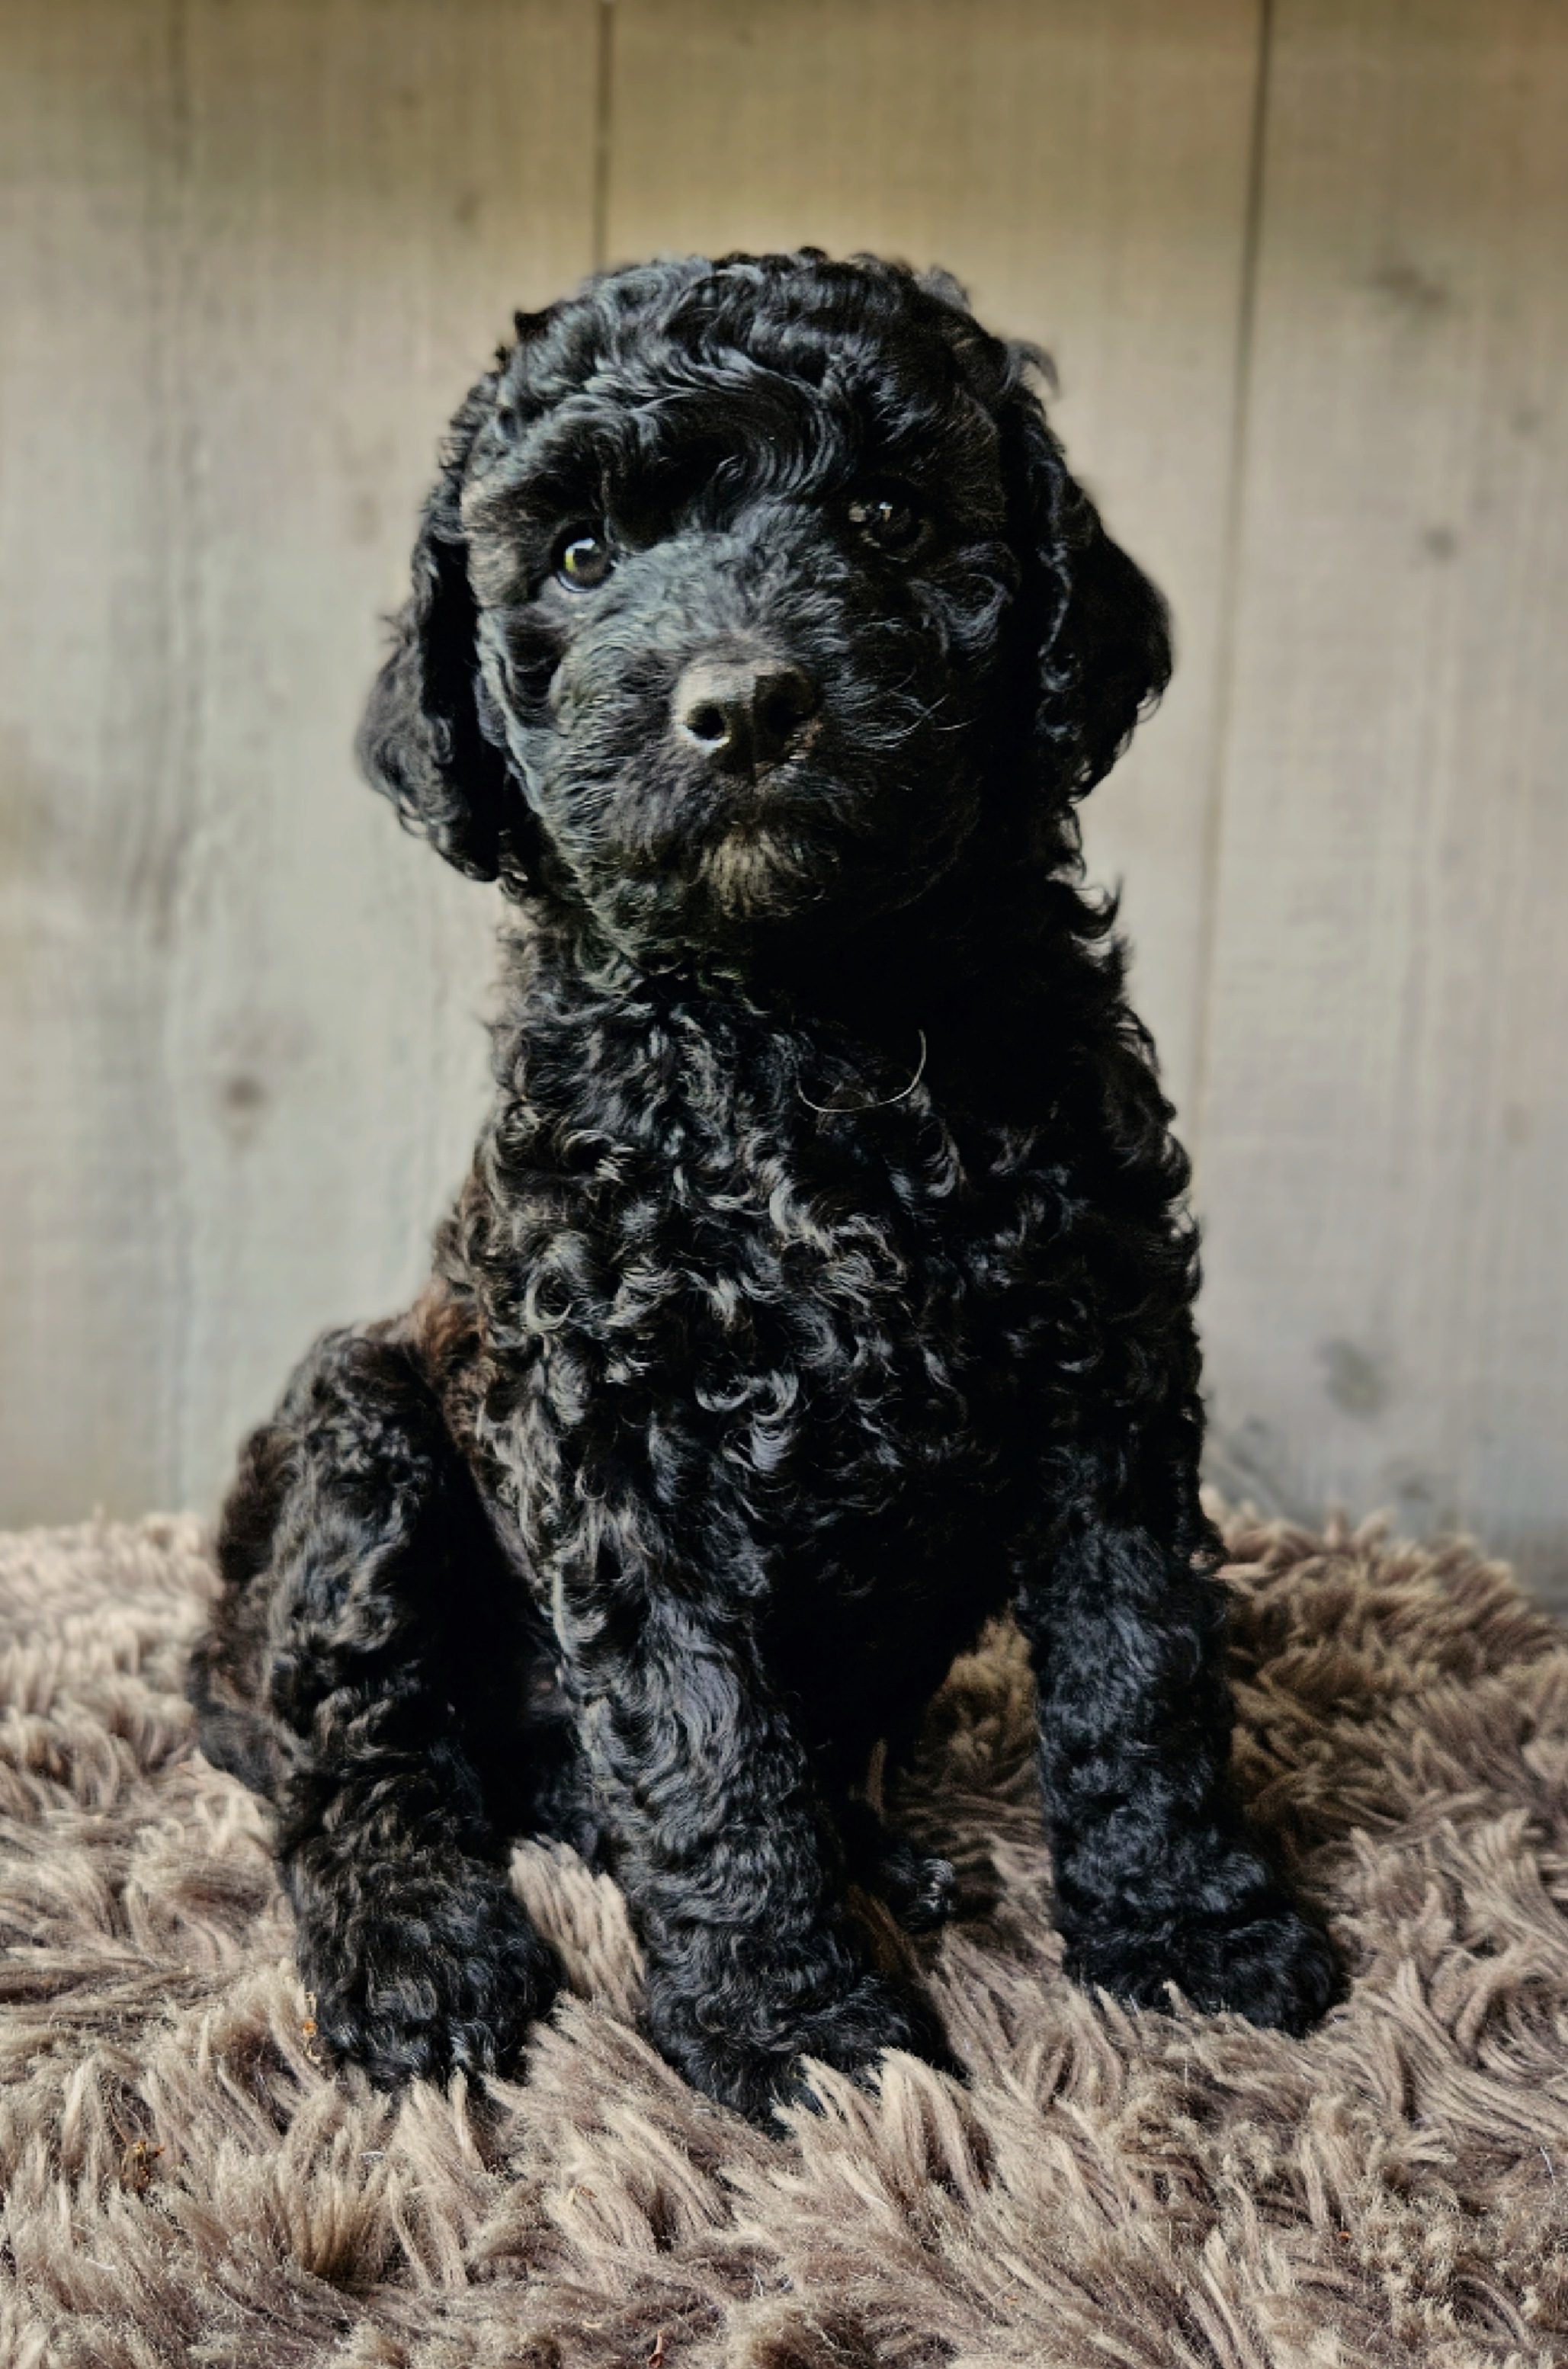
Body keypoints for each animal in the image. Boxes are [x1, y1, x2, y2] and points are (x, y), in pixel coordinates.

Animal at [187, 249, 1336, 2122]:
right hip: (357, 1435)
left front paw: (1188, 1932)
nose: (741, 705)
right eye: (582, 556)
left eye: (884, 518)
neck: (805, 1023)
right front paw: (795, 2034)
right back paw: (418, 1952)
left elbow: (1138, 1663)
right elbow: (702, 1742)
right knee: (355, 1746)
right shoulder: (612, 1440)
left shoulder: (1098, 1367)